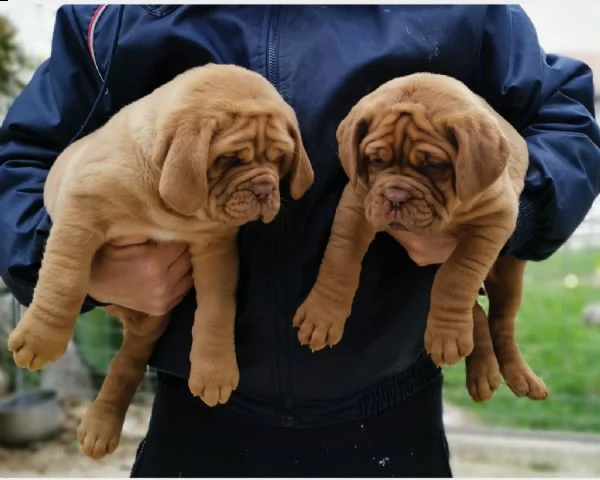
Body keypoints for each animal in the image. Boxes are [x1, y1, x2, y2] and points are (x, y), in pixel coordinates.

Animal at [8, 63, 314, 458]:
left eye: (279, 159)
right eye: (230, 159)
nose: (265, 189)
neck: (167, 204)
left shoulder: (215, 247)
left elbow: (217, 308)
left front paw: (214, 369)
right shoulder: (80, 213)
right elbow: (65, 278)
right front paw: (40, 339)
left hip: (148, 327)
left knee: (127, 364)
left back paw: (101, 426)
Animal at [292, 74, 548, 404]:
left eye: (433, 165)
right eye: (374, 160)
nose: (396, 197)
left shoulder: (495, 219)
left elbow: (457, 275)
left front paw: (446, 335)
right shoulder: (357, 203)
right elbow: (340, 258)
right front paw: (322, 316)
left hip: (509, 276)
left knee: (501, 323)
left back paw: (518, 375)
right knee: (477, 314)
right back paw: (482, 373)